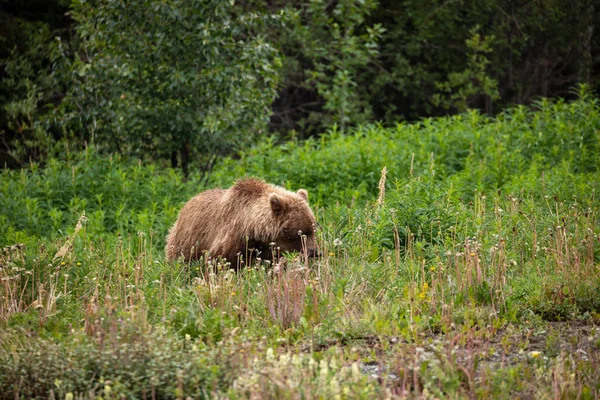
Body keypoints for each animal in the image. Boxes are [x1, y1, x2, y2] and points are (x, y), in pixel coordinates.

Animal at [164, 177, 318, 266]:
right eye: (301, 232)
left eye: (313, 228)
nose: (315, 252)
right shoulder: (231, 239)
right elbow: (221, 262)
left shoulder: (269, 248)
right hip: (186, 241)